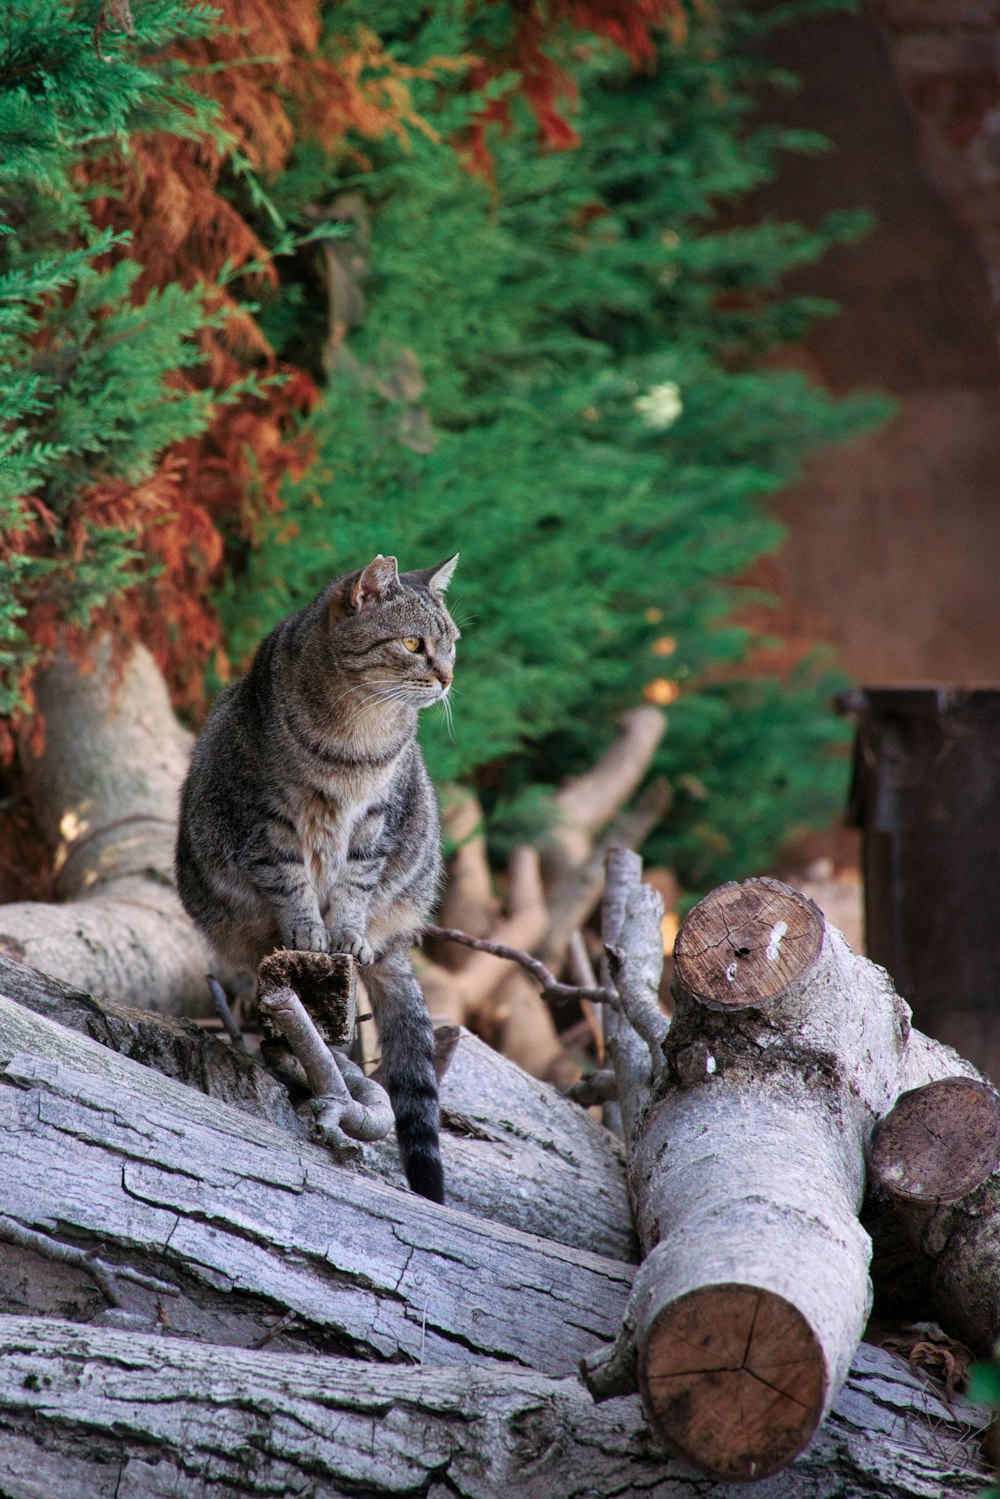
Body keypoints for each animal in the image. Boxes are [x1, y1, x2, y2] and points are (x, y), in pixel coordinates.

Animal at [176, 557, 461, 1199]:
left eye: (452, 643)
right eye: (414, 645)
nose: (447, 677)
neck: (358, 736)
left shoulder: (376, 821)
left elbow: (354, 884)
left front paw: (344, 934)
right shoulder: (265, 818)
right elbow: (291, 883)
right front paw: (308, 930)